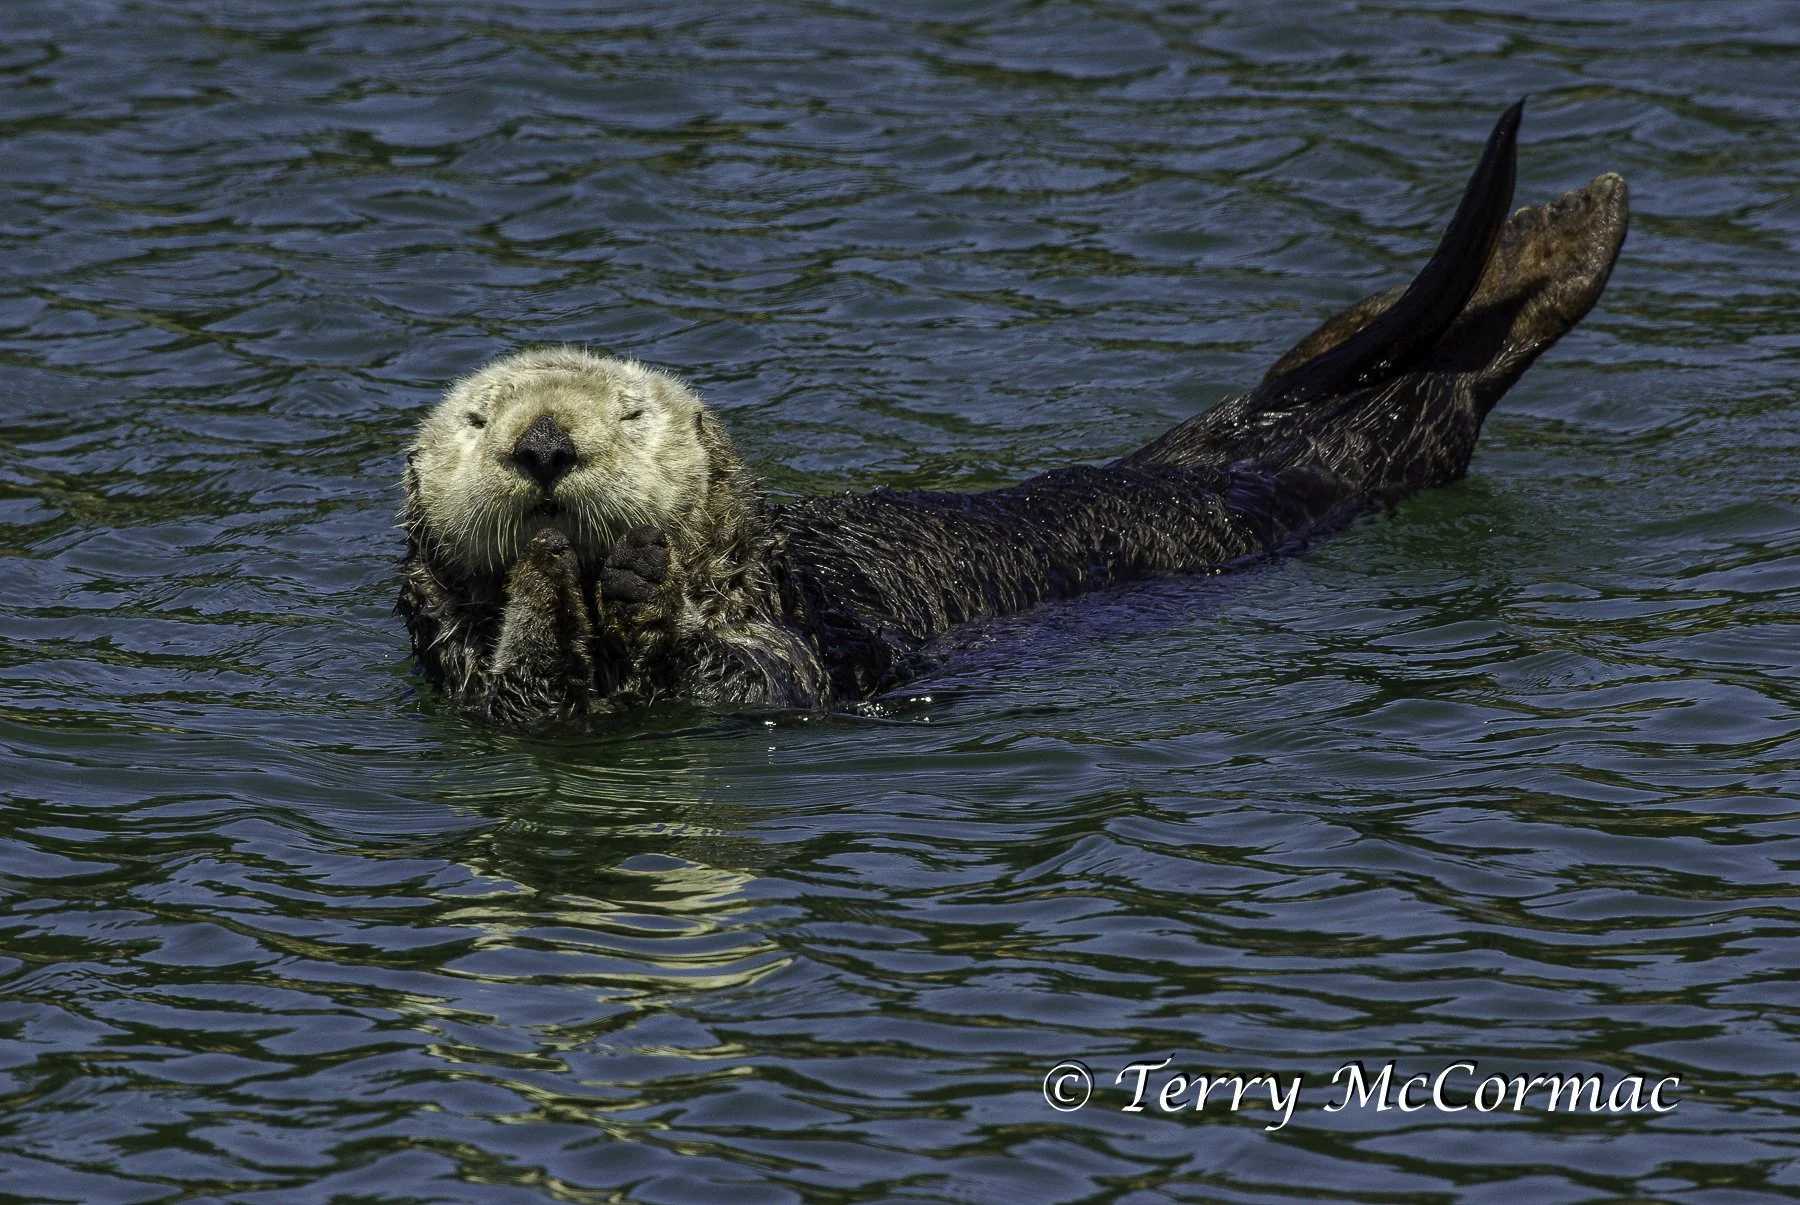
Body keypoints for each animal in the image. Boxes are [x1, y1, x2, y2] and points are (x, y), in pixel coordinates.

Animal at [398, 102, 1628, 724]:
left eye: (632, 414)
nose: (543, 445)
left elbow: (758, 677)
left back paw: (1578, 219)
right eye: (479, 421)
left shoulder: (795, 635)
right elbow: (519, 692)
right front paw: (546, 580)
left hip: (1265, 456)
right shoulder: (471, 685)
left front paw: (634, 579)